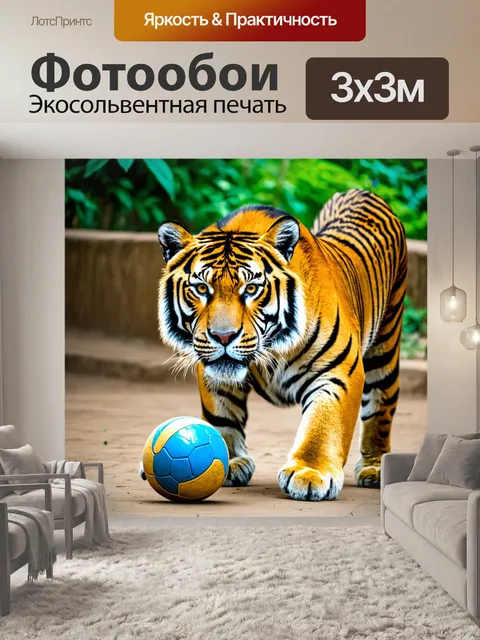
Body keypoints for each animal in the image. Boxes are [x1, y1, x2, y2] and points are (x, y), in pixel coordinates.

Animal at [153, 188, 407, 501]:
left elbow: (323, 425)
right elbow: (222, 415)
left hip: (386, 346)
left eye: (251, 289)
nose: (223, 336)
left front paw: (310, 474)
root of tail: (362, 191)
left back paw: (375, 468)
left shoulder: (338, 371)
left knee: (380, 409)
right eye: (201, 288)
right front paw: (229, 462)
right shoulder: (212, 369)